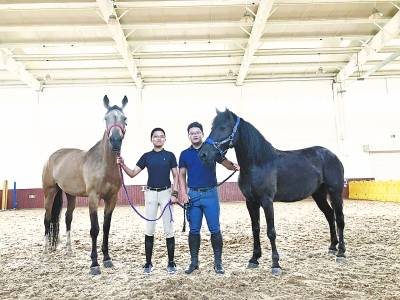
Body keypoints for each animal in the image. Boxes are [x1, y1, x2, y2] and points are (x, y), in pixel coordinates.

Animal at [42, 95, 127, 276]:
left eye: (124, 119)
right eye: (106, 118)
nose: (115, 141)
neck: (104, 164)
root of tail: (51, 157)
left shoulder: (112, 199)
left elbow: (106, 227)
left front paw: (107, 259)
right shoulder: (93, 198)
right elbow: (95, 229)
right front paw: (94, 264)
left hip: (70, 195)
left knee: (68, 218)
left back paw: (69, 249)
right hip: (49, 192)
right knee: (47, 218)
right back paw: (45, 250)